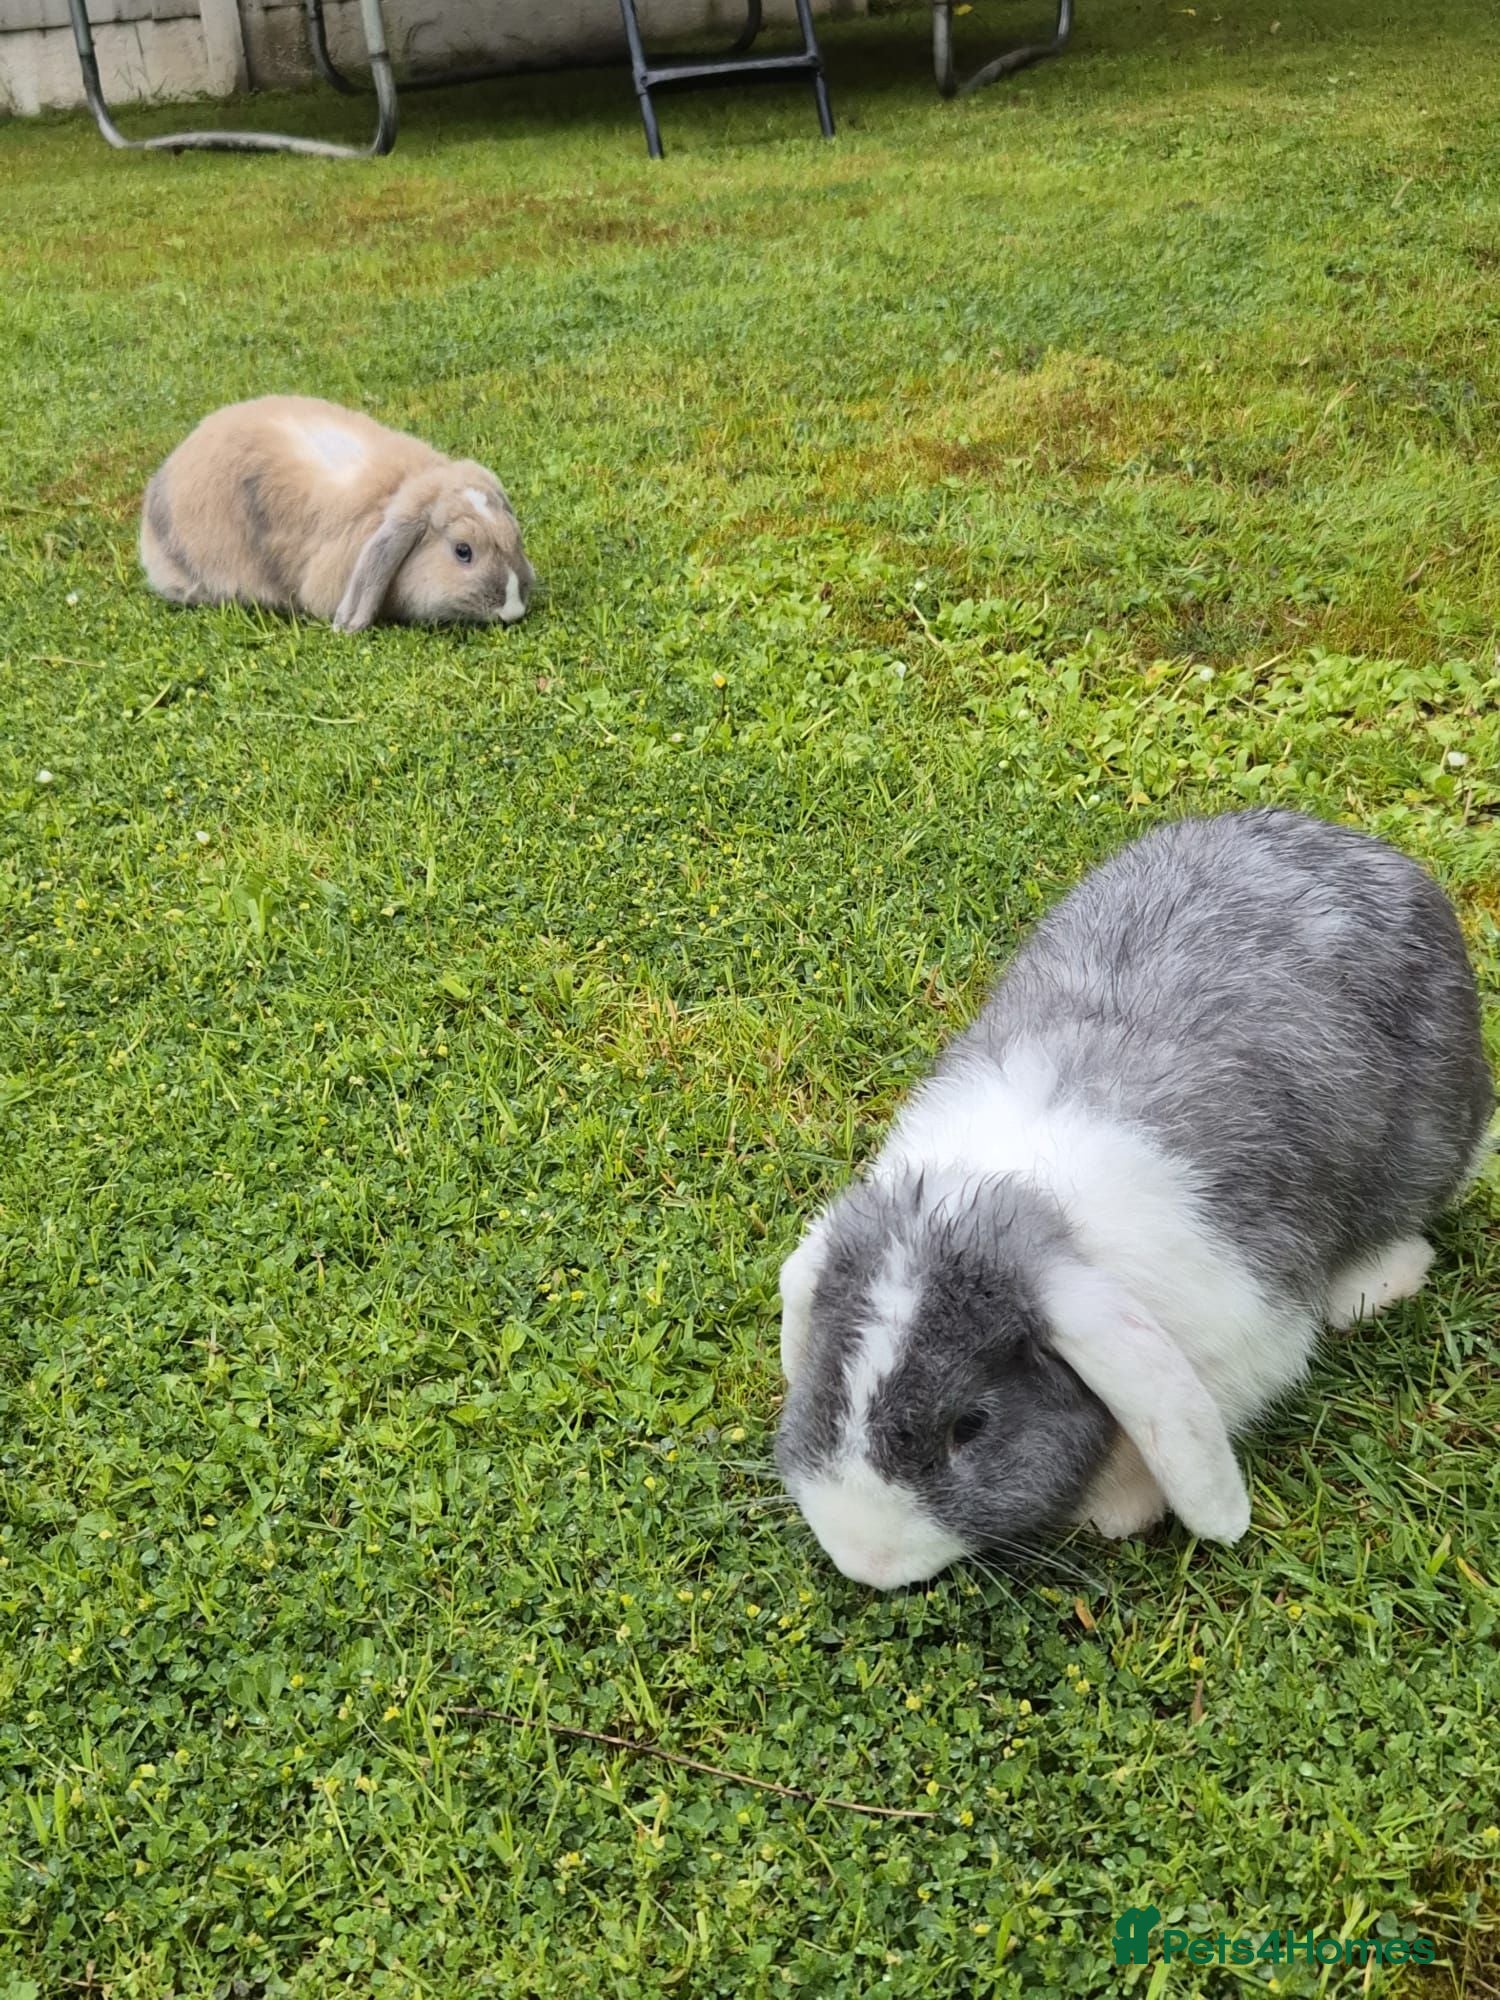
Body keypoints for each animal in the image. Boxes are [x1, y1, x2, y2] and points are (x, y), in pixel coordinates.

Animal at [776, 808, 1492, 1589]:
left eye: (972, 1424)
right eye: (827, 1383)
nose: (864, 1559)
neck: (1001, 1198)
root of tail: (1362, 848)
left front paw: (1116, 1511)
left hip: (1425, 1141)